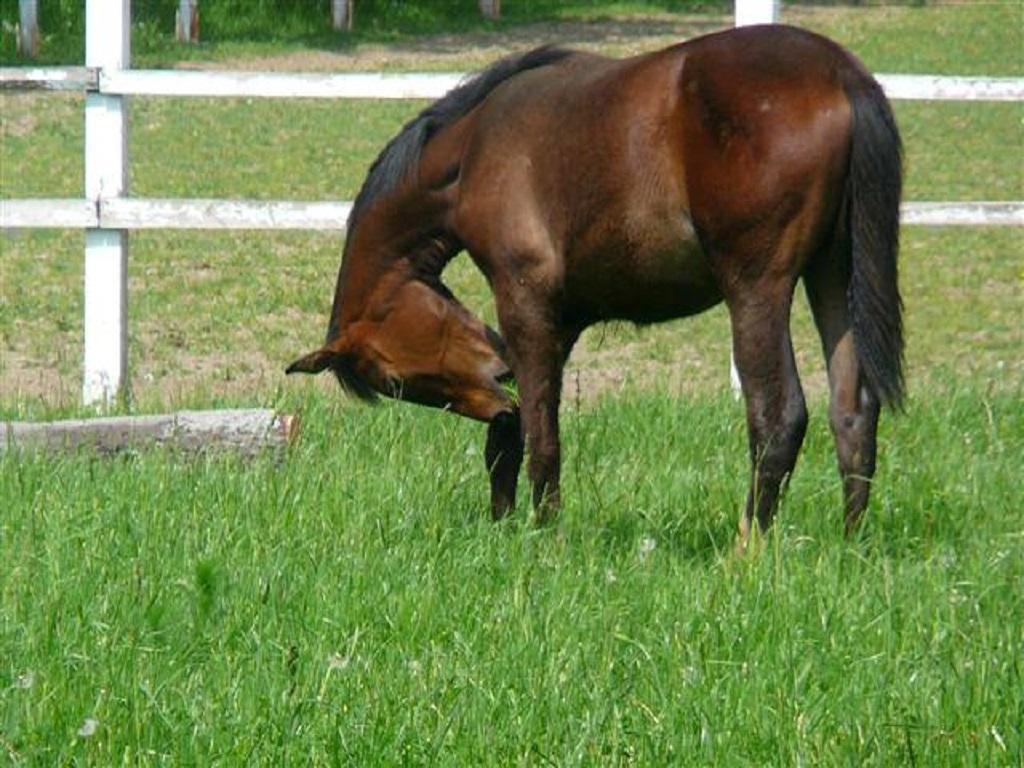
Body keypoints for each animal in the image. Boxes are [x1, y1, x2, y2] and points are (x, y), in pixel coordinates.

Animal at [284, 25, 901, 548]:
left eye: (392, 377)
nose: (494, 383)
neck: (474, 146)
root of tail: (839, 71)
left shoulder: (525, 302)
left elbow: (540, 435)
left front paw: (543, 536)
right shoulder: (563, 320)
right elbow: (518, 433)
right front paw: (505, 521)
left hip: (756, 289)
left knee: (779, 415)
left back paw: (746, 548)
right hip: (832, 277)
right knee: (852, 411)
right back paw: (849, 546)